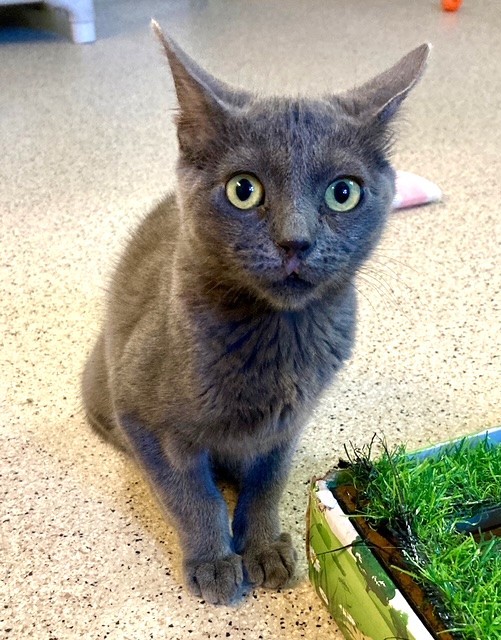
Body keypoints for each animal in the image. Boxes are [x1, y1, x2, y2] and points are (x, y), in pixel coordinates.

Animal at [81, 20, 429, 605]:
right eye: (243, 190)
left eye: (343, 192)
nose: (296, 242)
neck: (277, 337)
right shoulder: (140, 410)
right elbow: (189, 491)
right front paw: (214, 560)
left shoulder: (289, 423)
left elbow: (269, 480)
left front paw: (264, 547)